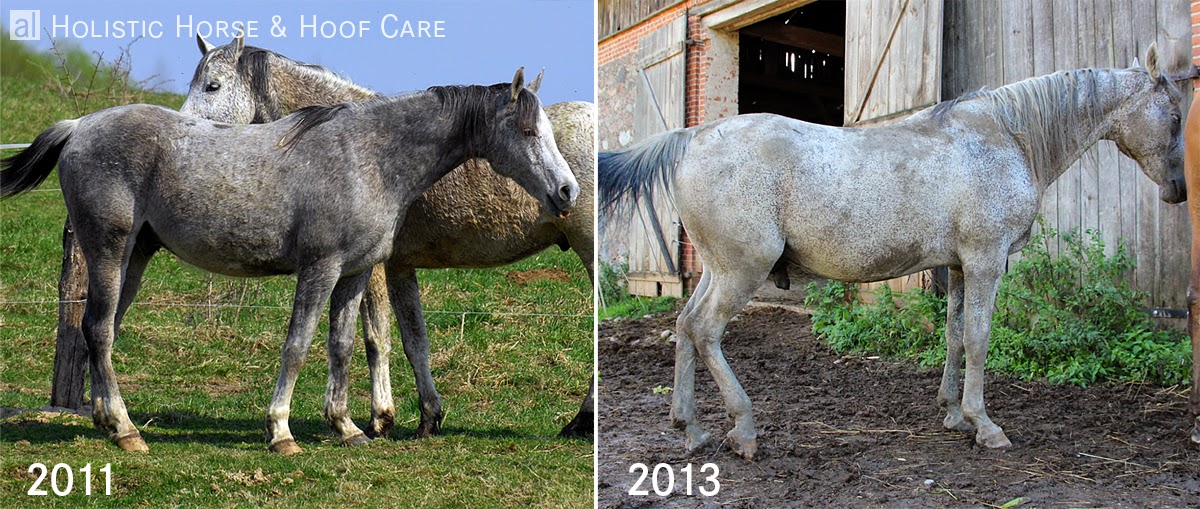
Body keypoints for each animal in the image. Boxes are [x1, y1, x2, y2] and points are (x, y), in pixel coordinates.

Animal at [0, 68, 579, 454]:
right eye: (529, 131)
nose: (567, 191)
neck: (369, 155)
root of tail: (79, 126)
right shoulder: (319, 268)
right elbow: (298, 346)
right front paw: (280, 431)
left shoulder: (354, 273)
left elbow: (343, 346)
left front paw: (347, 427)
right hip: (107, 248)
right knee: (98, 329)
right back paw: (125, 431)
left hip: (133, 256)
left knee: (102, 330)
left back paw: (106, 420)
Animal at [179, 34, 595, 437]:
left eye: (213, 86)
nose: (184, 135)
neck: (372, 150)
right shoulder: (398, 267)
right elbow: (414, 341)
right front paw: (428, 417)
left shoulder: (372, 267)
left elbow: (375, 339)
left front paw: (379, 418)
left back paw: (582, 420)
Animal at [599, 44, 1185, 460]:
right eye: (1176, 116)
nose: (1179, 190)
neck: (1006, 136)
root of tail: (692, 137)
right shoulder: (986, 261)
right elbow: (979, 339)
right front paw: (984, 424)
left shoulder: (959, 267)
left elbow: (954, 337)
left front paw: (954, 414)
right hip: (743, 271)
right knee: (705, 331)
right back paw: (743, 429)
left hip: (715, 270)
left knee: (683, 325)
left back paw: (691, 427)